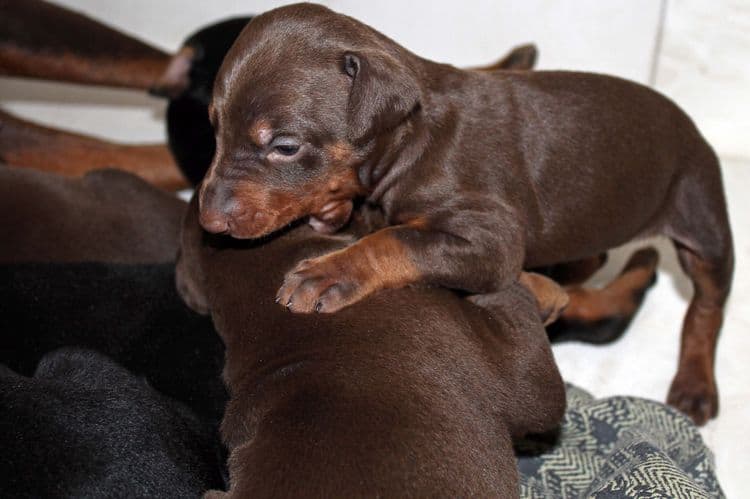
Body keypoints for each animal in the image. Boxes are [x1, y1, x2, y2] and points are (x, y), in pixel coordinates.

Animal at [200, 3, 736, 426]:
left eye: (285, 146)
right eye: (215, 128)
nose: (209, 222)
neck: (411, 140)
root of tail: (691, 126)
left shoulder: (488, 237)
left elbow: (394, 239)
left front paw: (329, 273)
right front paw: (331, 210)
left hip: (701, 213)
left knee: (707, 305)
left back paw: (694, 384)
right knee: (595, 259)